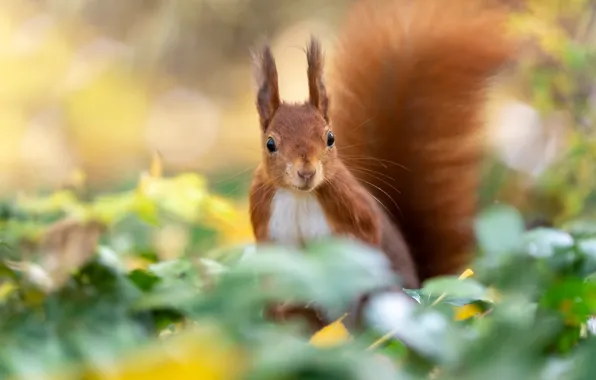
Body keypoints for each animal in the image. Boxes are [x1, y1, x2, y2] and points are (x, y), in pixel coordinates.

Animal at [249, 0, 516, 326]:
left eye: (330, 138)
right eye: (270, 144)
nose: (306, 171)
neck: (300, 197)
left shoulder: (356, 213)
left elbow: (363, 246)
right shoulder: (266, 229)